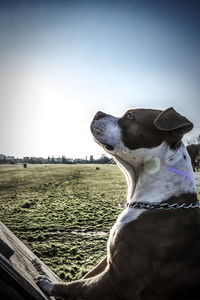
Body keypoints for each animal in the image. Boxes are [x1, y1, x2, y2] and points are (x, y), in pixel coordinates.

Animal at [36, 108, 200, 300]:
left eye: (129, 116)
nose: (98, 113)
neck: (159, 201)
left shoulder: (118, 280)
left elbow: (78, 286)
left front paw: (50, 285)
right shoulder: (108, 261)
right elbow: (87, 276)